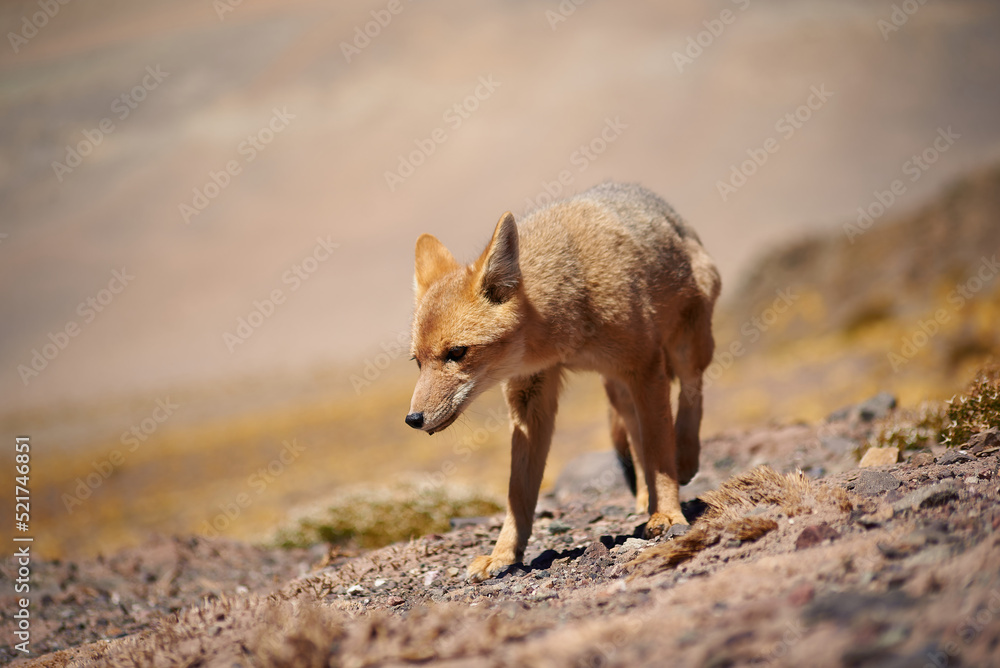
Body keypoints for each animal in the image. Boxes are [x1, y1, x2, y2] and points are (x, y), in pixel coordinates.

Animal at [406, 182, 721, 582]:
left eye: (457, 352)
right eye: (417, 363)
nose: (413, 419)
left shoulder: (646, 366)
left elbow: (659, 450)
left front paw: (667, 513)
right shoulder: (530, 397)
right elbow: (519, 492)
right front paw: (503, 554)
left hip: (682, 350)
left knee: (692, 394)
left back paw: (684, 459)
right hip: (618, 387)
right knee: (636, 434)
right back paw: (644, 499)